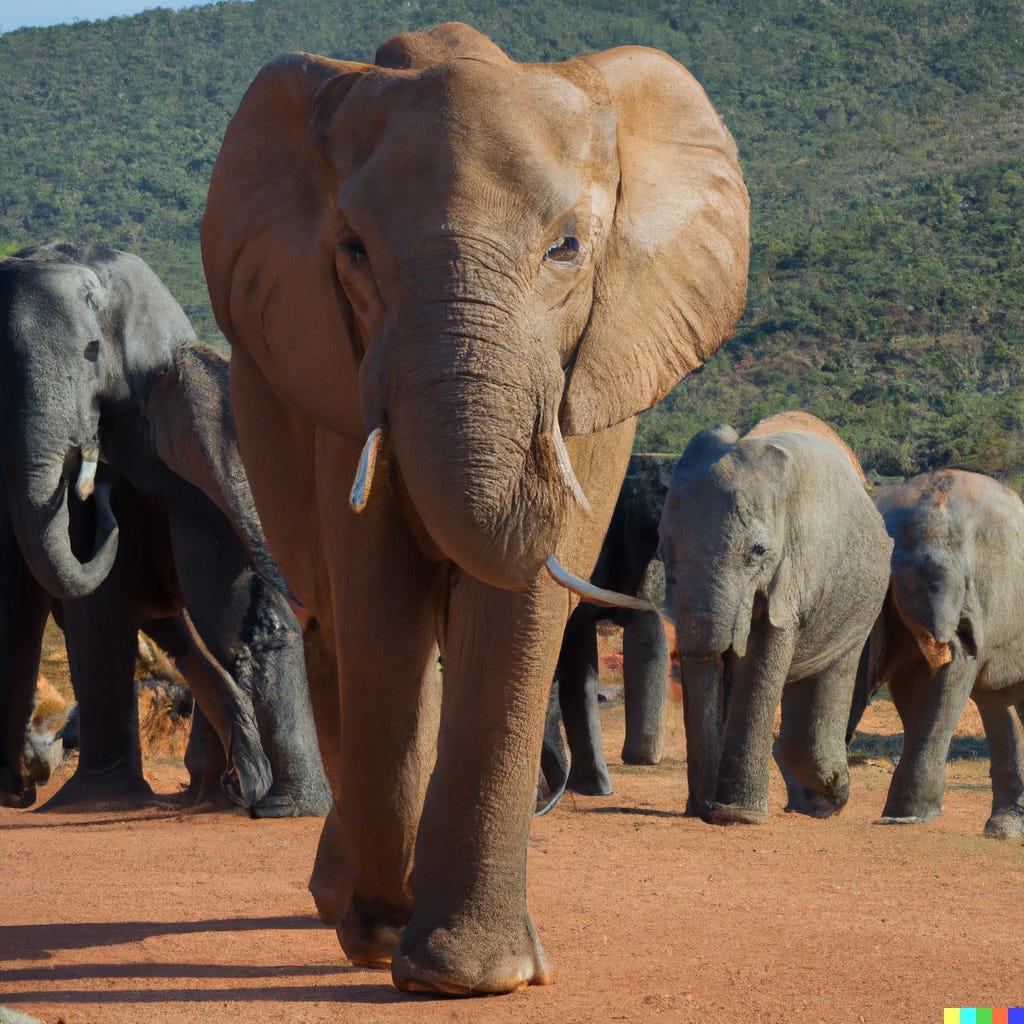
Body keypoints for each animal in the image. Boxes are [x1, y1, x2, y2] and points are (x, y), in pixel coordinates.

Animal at [0, 241, 330, 817]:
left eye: (92, 351)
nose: (96, 487)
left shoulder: (195, 462)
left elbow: (229, 609)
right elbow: (97, 605)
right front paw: (96, 801)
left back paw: (261, 800)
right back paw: (222, 794)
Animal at [659, 411, 892, 825]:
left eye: (757, 551)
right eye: (662, 547)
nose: (702, 809)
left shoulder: (794, 570)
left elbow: (763, 653)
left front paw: (738, 816)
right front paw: (711, 810)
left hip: (865, 599)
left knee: (837, 666)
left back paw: (827, 801)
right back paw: (810, 801)